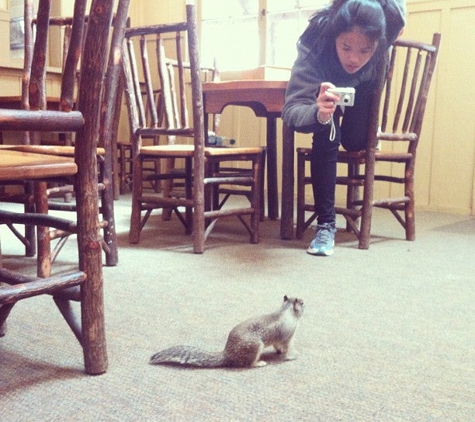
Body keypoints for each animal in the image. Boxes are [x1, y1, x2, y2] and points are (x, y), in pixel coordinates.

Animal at [151, 296, 306, 368]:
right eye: (302, 303)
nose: (306, 304)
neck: (286, 311)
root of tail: (228, 354)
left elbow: (278, 345)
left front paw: (280, 352)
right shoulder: (288, 335)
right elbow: (288, 347)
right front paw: (292, 356)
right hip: (255, 346)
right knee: (247, 364)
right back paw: (259, 363)